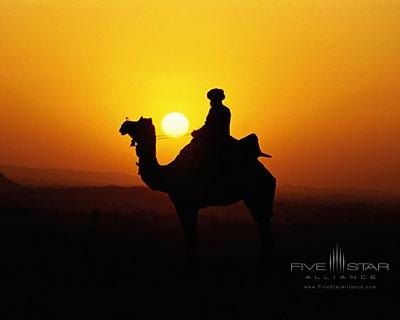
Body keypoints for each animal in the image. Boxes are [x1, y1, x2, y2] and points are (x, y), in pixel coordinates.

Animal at [119, 116, 276, 262]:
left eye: (138, 123)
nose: (123, 126)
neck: (168, 174)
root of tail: (270, 176)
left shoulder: (186, 205)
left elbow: (190, 238)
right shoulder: (186, 206)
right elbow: (190, 237)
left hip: (259, 194)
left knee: (264, 224)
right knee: (264, 225)